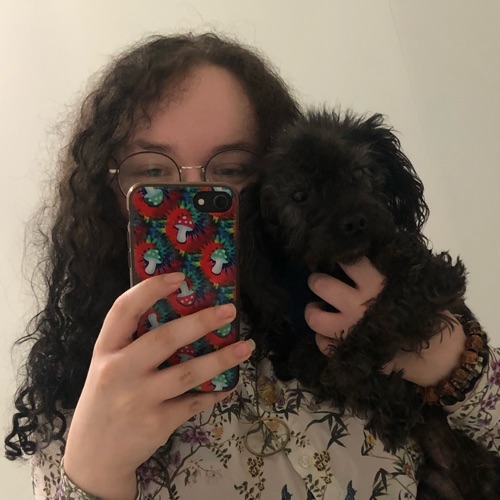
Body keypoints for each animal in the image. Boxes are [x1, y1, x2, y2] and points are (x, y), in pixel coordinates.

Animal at [240, 109, 500, 499]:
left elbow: (392, 309)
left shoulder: (433, 276)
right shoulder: (299, 343)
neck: (337, 268)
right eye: (299, 196)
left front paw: (354, 355)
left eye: (359, 173)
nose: (354, 221)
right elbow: (320, 364)